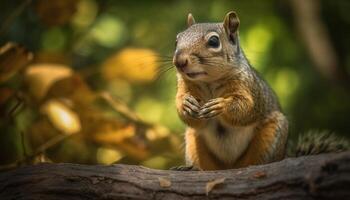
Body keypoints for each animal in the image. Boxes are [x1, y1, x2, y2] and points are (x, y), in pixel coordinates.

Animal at [172, 10, 348, 170]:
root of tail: (230, 167)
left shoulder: (251, 88)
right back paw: (192, 168)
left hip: (271, 135)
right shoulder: (185, 86)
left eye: (214, 41)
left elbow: (247, 109)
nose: (179, 61)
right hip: (193, 141)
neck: (209, 81)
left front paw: (221, 105)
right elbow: (192, 118)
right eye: (177, 40)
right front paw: (185, 104)